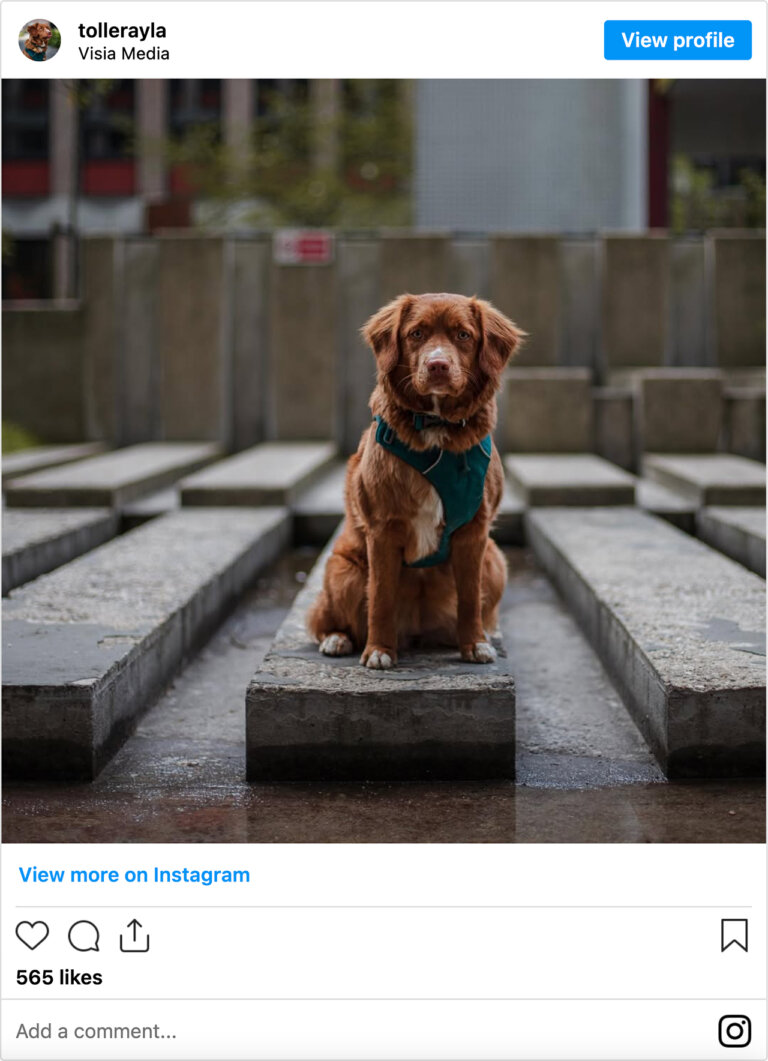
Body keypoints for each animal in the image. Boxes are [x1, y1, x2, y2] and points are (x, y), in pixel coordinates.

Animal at [309, 294, 524, 666]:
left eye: (463, 335)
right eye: (416, 334)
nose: (437, 365)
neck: (436, 428)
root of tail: (417, 630)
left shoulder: (475, 531)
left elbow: (470, 597)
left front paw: (474, 644)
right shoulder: (382, 529)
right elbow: (381, 597)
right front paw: (379, 651)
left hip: (495, 561)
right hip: (342, 570)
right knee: (323, 617)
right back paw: (338, 639)